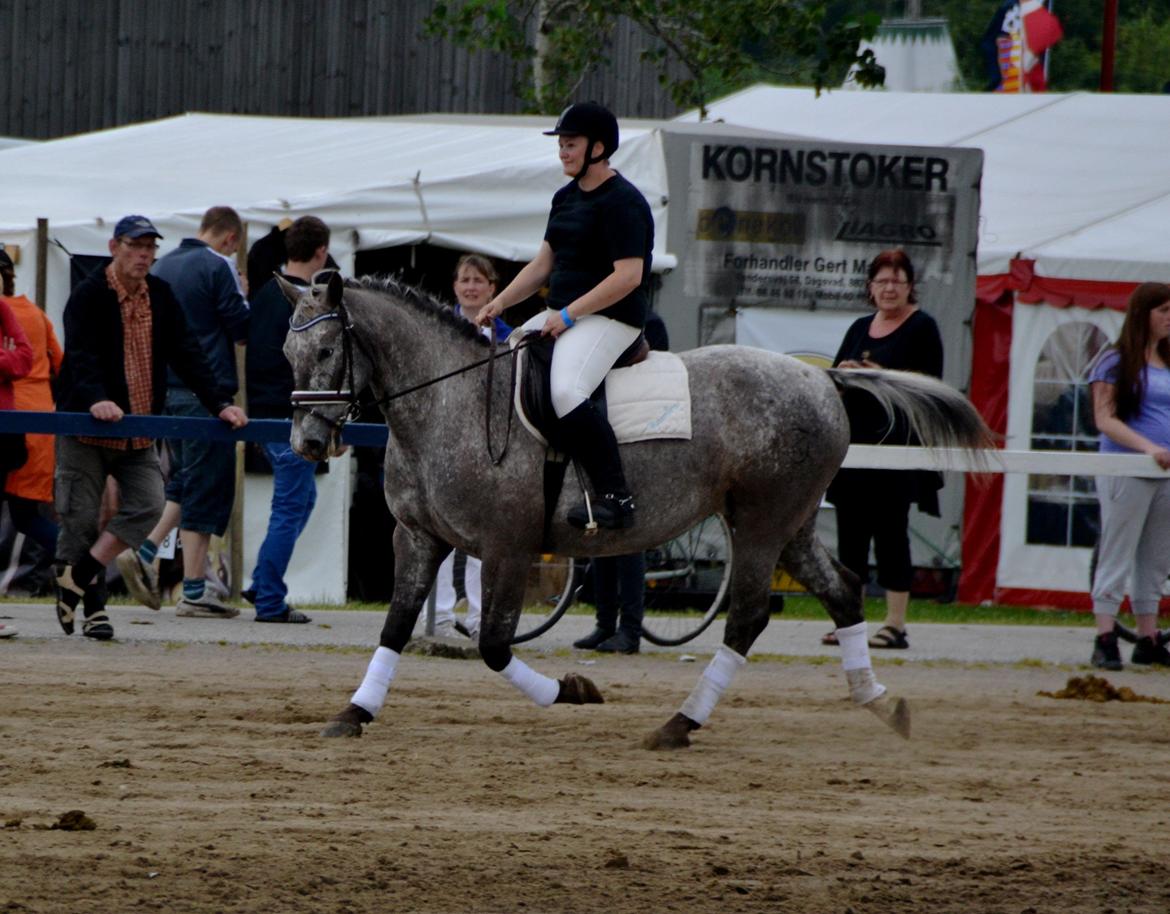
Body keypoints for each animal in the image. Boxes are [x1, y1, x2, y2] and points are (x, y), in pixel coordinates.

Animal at [280, 271, 987, 748]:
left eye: (327, 353)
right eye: (288, 355)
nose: (308, 444)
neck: (448, 401)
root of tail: (821, 376)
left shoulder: (506, 547)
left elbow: (494, 647)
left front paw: (571, 692)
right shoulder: (418, 538)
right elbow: (397, 625)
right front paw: (353, 713)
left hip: (759, 523)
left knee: (748, 618)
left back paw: (679, 723)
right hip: (792, 522)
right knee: (841, 590)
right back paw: (879, 702)